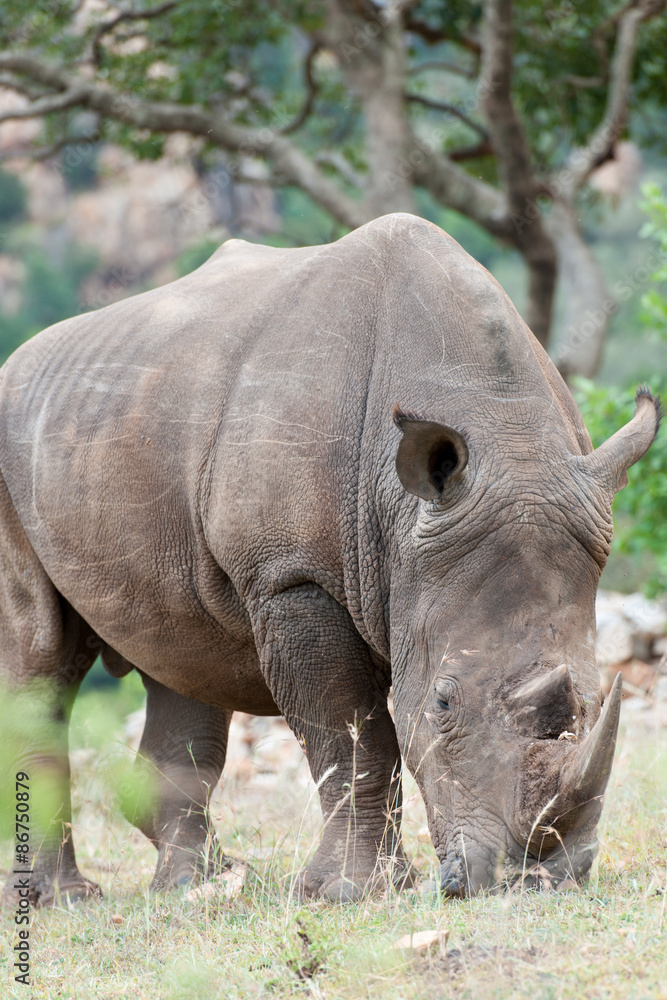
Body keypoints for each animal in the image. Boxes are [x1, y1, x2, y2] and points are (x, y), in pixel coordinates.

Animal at [0, 213, 660, 906]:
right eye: (444, 704)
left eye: (595, 700)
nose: (533, 879)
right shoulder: (290, 577)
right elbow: (353, 732)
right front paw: (351, 891)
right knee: (43, 652)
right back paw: (66, 900)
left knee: (179, 649)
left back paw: (194, 888)